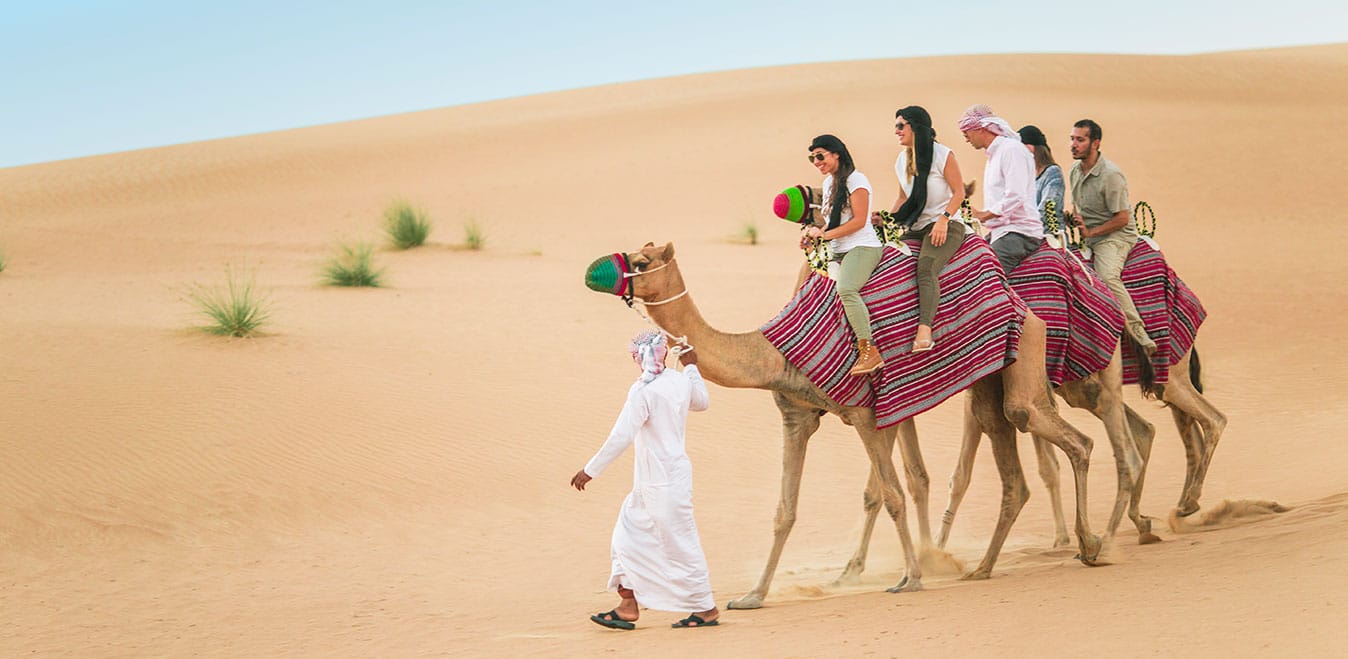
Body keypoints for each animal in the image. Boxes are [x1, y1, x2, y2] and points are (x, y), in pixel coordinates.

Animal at [610, 241, 1103, 610]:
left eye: (641, 262)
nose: (604, 272)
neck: (771, 352)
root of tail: (1014, 292)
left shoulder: (866, 414)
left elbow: (892, 495)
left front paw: (911, 578)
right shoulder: (796, 416)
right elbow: (785, 510)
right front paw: (752, 595)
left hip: (1025, 353)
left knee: (1060, 432)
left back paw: (1092, 544)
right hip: (987, 381)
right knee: (1014, 456)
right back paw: (988, 566)